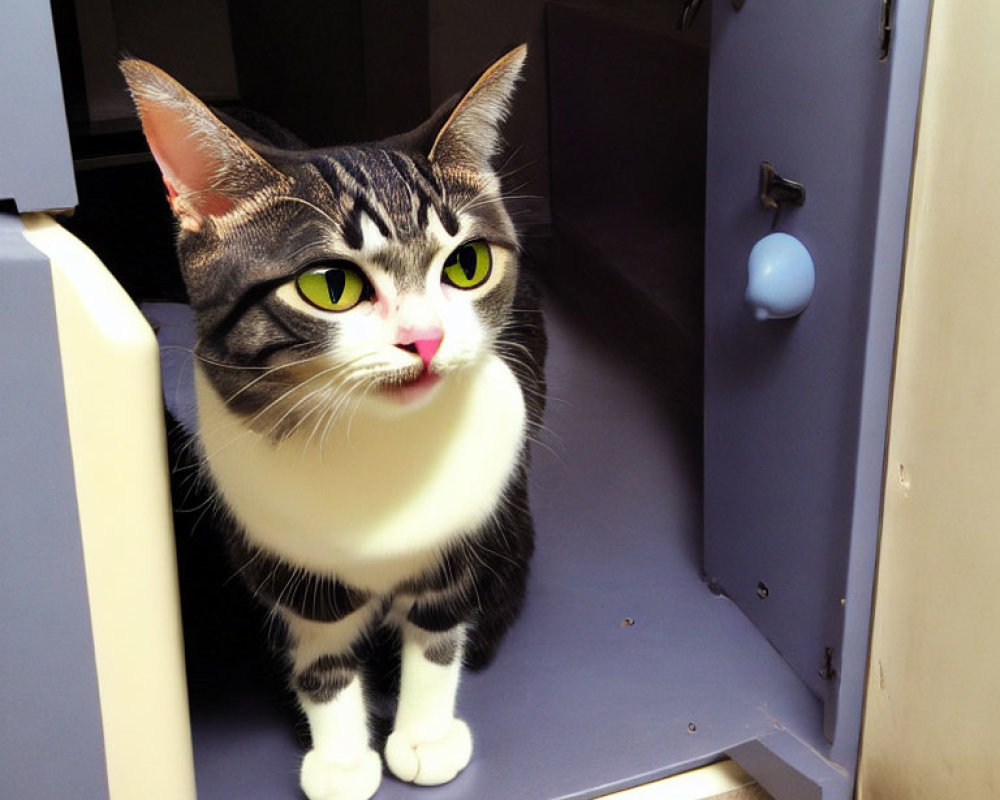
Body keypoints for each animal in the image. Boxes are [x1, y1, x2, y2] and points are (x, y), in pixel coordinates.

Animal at [124, 47, 548, 800]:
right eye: (330, 286)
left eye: (466, 265)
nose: (427, 340)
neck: (374, 444)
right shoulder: (288, 562)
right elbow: (320, 659)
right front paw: (344, 758)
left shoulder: (458, 544)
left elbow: (438, 635)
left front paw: (425, 734)